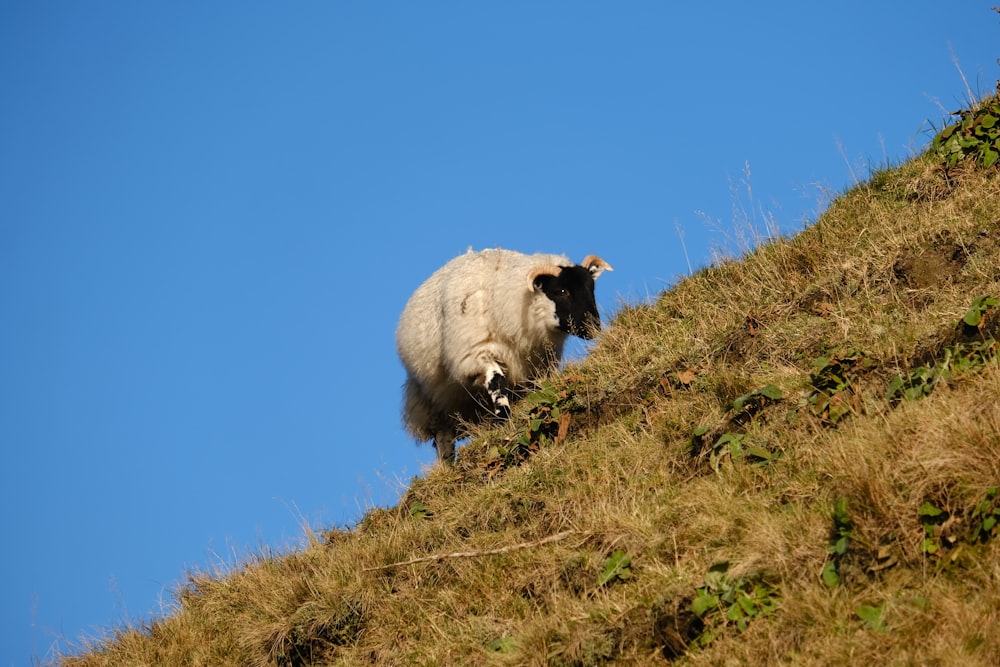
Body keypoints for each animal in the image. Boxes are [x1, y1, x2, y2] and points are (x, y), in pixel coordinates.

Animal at [394, 248, 612, 462]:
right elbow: (497, 381)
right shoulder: (476, 353)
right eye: (562, 291)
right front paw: (503, 416)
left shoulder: (536, 368)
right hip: (433, 404)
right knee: (443, 438)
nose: (594, 327)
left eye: (591, 288)